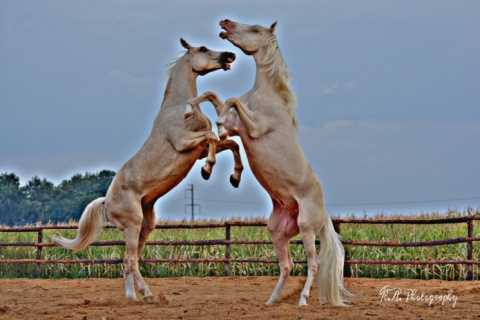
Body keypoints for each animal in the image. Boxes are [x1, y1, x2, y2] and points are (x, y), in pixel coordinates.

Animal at [53, 38, 244, 302]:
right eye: (203, 49)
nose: (230, 55)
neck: (177, 110)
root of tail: (106, 203)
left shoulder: (198, 149)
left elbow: (231, 143)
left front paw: (235, 177)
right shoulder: (185, 143)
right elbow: (214, 136)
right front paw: (207, 170)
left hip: (146, 225)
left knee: (127, 261)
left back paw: (133, 298)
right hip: (133, 226)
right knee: (130, 260)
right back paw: (147, 294)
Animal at [186, 20, 350, 308]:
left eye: (254, 29)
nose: (224, 23)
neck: (266, 95)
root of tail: (324, 213)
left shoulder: (252, 128)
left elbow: (230, 102)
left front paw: (217, 127)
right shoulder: (239, 126)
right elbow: (214, 96)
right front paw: (193, 107)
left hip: (307, 229)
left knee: (314, 264)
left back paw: (303, 300)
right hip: (278, 231)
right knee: (287, 265)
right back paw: (271, 301)